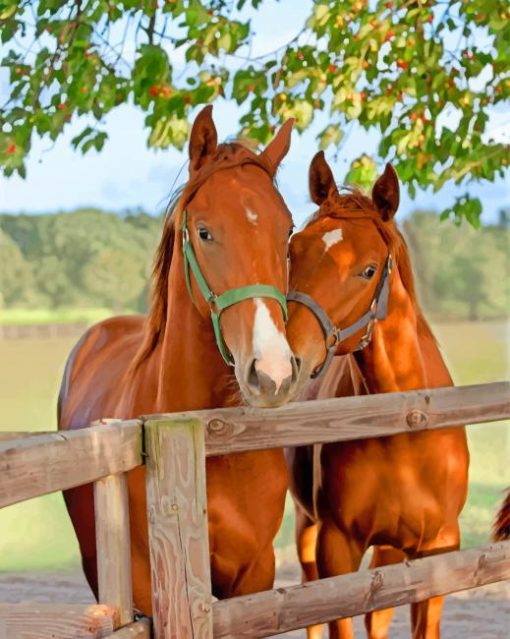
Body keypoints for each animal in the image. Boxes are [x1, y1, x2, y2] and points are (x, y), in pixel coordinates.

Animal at [284, 151, 468, 639]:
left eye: (368, 269)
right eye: (293, 251)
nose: (288, 357)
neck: (404, 426)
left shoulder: (438, 551)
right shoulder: (337, 547)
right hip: (307, 529)